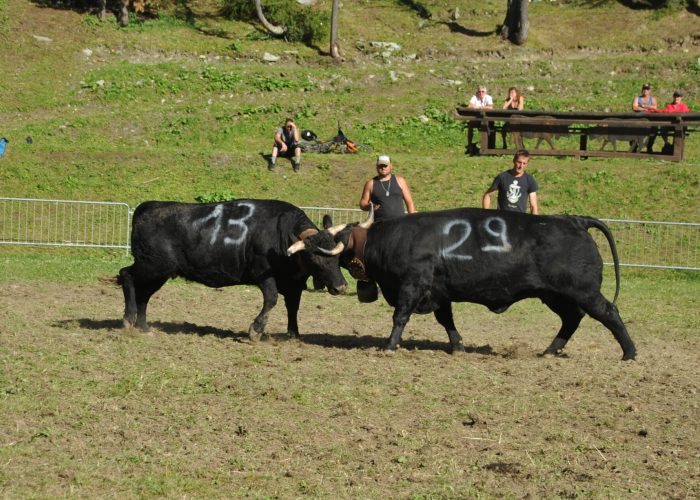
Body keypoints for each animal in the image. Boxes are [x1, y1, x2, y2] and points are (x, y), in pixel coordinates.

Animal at [121, 200, 350, 340]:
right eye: (314, 258)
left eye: (337, 257)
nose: (341, 287)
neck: (280, 236)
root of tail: (148, 207)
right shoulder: (263, 275)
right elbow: (271, 299)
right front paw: (256, 330)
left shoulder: (294, 284)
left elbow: (293, 306)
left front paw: (294, 333)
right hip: (151, 267)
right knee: (126, 275)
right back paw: (129, 319)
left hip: (159, 273)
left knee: (144, 295)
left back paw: (143, 326)